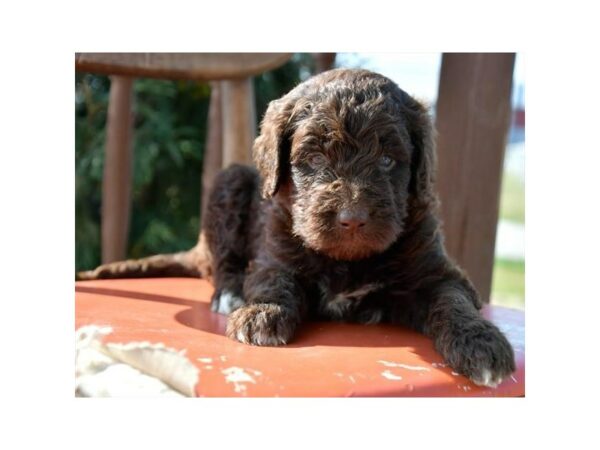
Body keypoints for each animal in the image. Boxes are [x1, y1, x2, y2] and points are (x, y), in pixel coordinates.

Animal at [81, 69, 516, 386]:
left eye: (388, 160)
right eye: (316, 158)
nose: (352, 218)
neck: (347, 261)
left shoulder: (437, 272)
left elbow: (453, 300)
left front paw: (481, 342)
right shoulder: (274, 256)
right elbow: (275, 283)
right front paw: (261, 313)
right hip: (230, 185)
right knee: (224, 262)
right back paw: (230, 295)